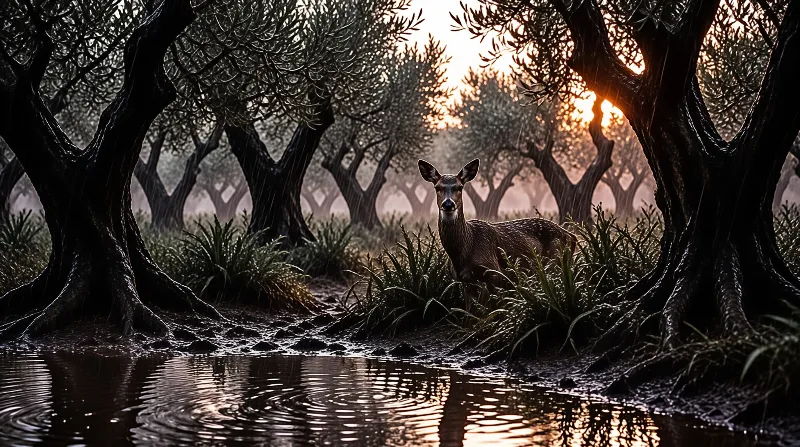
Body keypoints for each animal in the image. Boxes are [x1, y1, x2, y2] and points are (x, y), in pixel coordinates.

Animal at [418, 158, 577, 288]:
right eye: (437, 187)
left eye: (460, 187)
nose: (448, 204)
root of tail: (571, 236)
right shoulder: (464, 281)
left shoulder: (494, 273)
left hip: (555, 263)